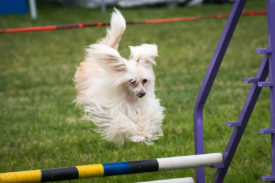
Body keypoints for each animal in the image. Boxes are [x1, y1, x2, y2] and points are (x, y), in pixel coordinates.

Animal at [74, 9, 165, 145]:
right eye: (132, 81)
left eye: (144, 80)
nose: (143, 93)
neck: (130, 98)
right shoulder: (114, 110)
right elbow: (124, 122)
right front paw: (136, 135)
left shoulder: (144, 108)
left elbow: (145, 118)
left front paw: (143, 132)